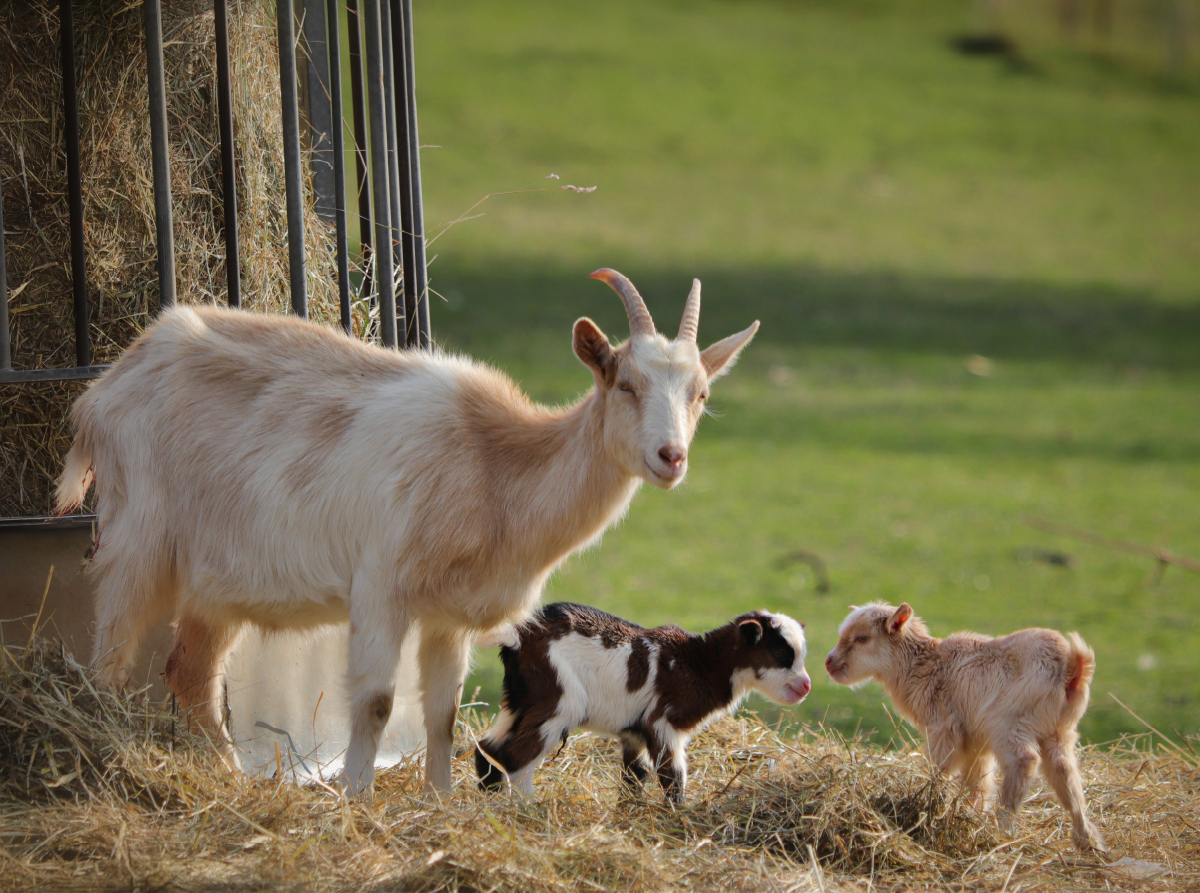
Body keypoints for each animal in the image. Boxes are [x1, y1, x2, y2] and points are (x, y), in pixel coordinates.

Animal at [56, 268, 758, 792]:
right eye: (625, 383)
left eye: (699, 393)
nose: (671, 457)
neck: (494, 464)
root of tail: (103, 391)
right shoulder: (380, 588)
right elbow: (374, 701)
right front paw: (355, 798)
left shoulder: (448, 615)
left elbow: (441, 712)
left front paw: (441, 801)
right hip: (137, 540)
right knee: (109, 661)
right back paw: (98, 759)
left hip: (216, 580)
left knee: (191, 672)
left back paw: (230, 779)